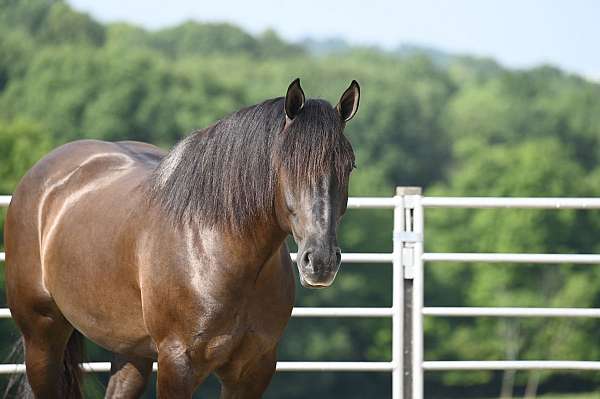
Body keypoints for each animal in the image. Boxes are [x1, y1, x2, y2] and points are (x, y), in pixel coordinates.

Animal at [3, 79, 360, 399]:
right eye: (287, 163)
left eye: (350, 166)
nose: (320, 261)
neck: (216, 250)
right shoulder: (178, 365)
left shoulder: (252, 370)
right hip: (42, 338)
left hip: (131, 350)